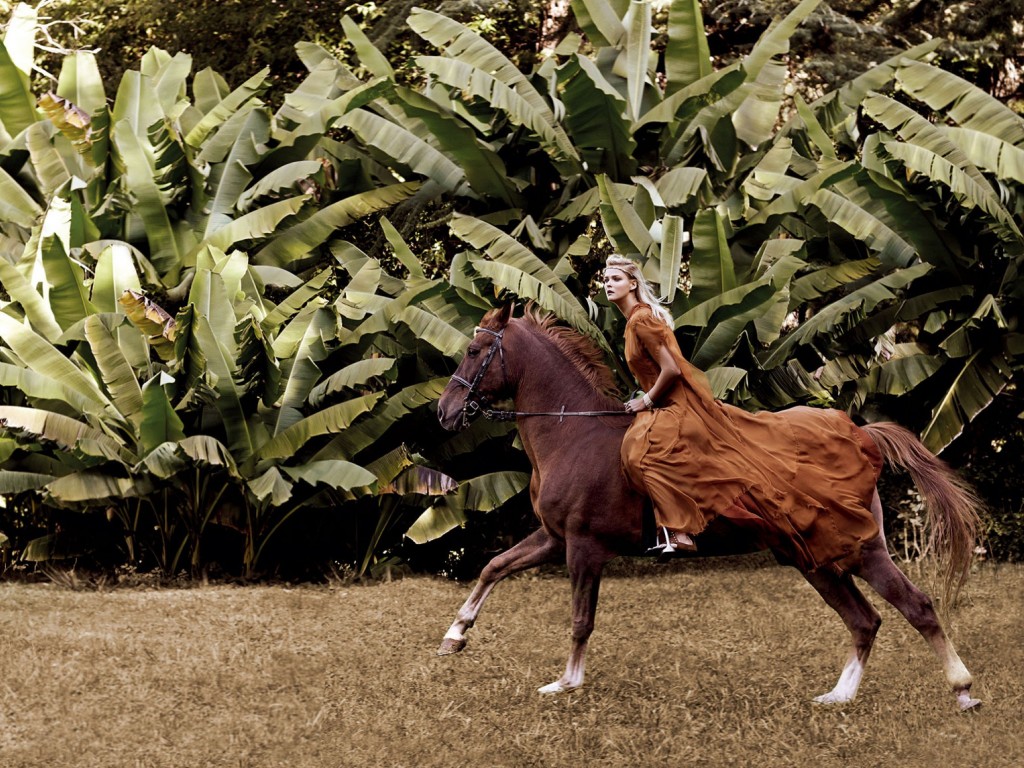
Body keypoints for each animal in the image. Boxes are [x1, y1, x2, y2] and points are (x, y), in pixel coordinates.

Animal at [435, 304, 983, 710]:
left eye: (475, 351)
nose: (444, 412)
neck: (573, 432)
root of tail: (861, 434)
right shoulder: (553, 538)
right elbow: (493, 566)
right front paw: (454, 635)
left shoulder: (584, 548)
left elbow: (580, 620)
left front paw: (566, 682)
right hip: (815, 561)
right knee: (864, 620)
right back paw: (839, 696)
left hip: (860, 550)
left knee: (917, 606)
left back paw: (962, 691)